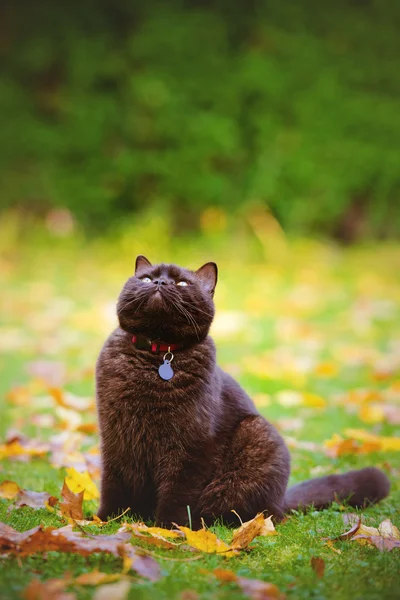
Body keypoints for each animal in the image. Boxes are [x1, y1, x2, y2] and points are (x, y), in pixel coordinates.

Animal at [95, 255, 390, 528]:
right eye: (146, 278)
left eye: (182, 283)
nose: (160, 283)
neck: (157, 355)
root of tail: (283, 499)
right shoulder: (116, 440)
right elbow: (114, 485)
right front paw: (105, 520)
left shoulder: (191, 446)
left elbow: (177, 493)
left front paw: (168, 529)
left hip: (257, 437)